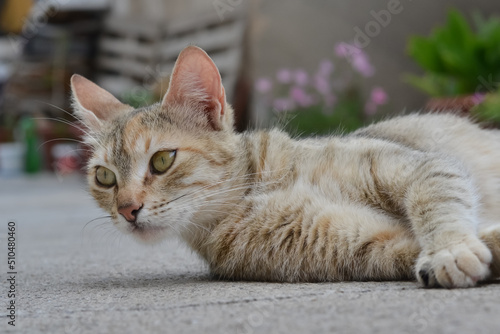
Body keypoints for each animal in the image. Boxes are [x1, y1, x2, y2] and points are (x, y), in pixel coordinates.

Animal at [70, 45, 500, 288]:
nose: (127, 209)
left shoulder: (415, 166)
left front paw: (449, 249)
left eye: (162, 160)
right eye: (104, 177)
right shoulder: (365, 245)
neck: (258, 189)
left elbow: (437, 203)